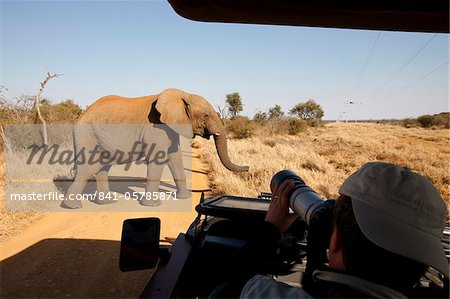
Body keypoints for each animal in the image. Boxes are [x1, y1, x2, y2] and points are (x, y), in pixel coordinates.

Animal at [61, 87, 248, 209]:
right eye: (206, 115)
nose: (248, 168)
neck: (183, 95)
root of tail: (80, 117)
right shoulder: (156, 127)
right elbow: (159, 159)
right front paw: (153, 205)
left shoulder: (170, 127)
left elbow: (176, 159)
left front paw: (185, 197)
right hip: (87, 135)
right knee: (89, 168)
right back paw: (73, 206)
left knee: (102, 168)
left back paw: (107, 202)